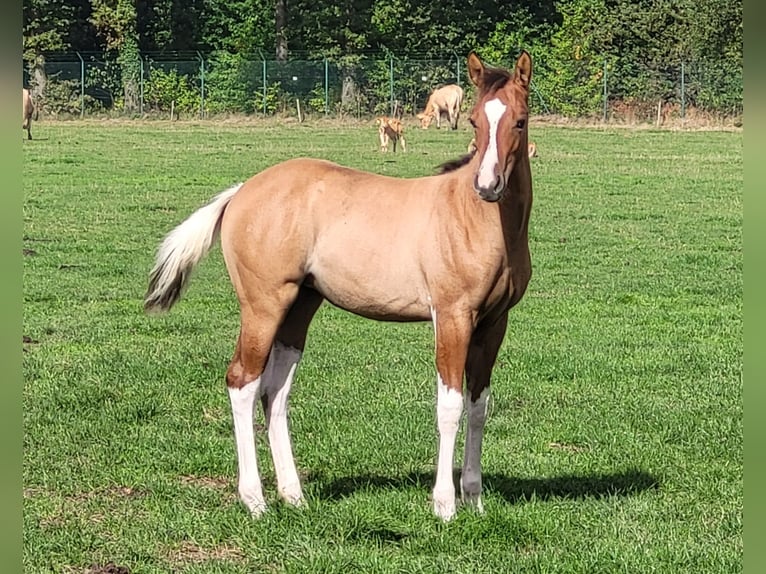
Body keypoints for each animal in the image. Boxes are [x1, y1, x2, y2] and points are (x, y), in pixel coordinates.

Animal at [144, 50, 533, 522]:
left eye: (520, 121)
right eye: (475, 121)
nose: (487, 186)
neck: (477, 221)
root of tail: (241, 192)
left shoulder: (494, 322)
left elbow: (479, 405)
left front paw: (474, 499)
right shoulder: (452, 316)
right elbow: (450, 405)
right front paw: (444, 505)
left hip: (299, 306)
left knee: (275, 392)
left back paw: (294, 495)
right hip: (263, 305)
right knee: (242, 382)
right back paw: (255, 500)